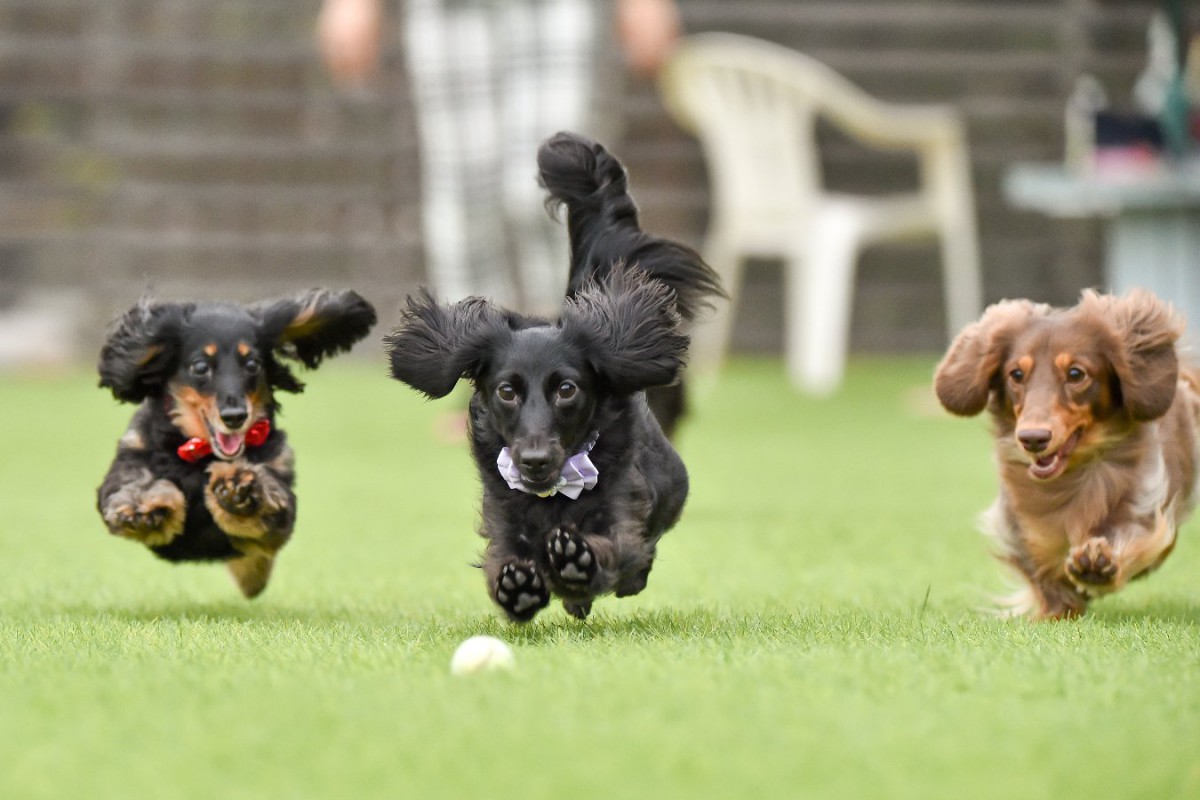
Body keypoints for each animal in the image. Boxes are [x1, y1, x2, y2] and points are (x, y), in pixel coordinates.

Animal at [94, 291, 374, 597]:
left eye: (252, 364)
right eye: (200, 366)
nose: (235, 416)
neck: (202, 454)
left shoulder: (280, 497)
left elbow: (268, 508)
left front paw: (239, 492)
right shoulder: (133, 453)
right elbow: (137, 482)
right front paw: (144, 507)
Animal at [384, 131, 720, 623]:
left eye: (566, 389)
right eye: (506, 391)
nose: (535, 461)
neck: (555, 495)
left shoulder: (624, 509)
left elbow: (617, 548)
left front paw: (577, 561)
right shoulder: (503, 516)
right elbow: (504, 557)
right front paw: (519, 585)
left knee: (640, 563)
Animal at [936, 289, 1200, 618]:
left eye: (1076, 374)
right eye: (1016, 374)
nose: (1033, 438)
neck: (1070, 478)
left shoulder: (1144, 506)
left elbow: (1128, 536)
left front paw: (1096, 565)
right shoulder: (1018, 527)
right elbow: (1041, 570)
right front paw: (1057, 609)